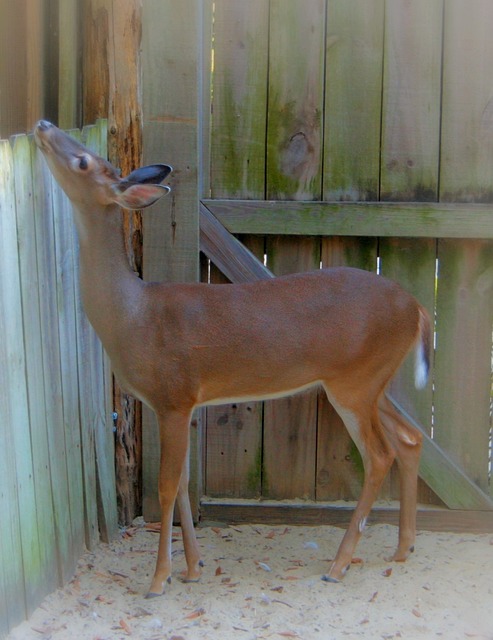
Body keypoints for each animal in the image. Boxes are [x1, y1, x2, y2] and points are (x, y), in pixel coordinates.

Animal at [33, 121, 430, 600]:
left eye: (83, 161)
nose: (43, 125)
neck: (133, 316)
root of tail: (417, 309)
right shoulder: (183, 405)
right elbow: (185, 483)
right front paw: (193, 567)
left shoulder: (173, 396)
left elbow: (167, 487)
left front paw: (159, 578)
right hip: (373, 381)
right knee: (410, 438)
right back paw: (402, 548)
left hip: (355, 383)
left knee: (380, 455)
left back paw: (338, 565)